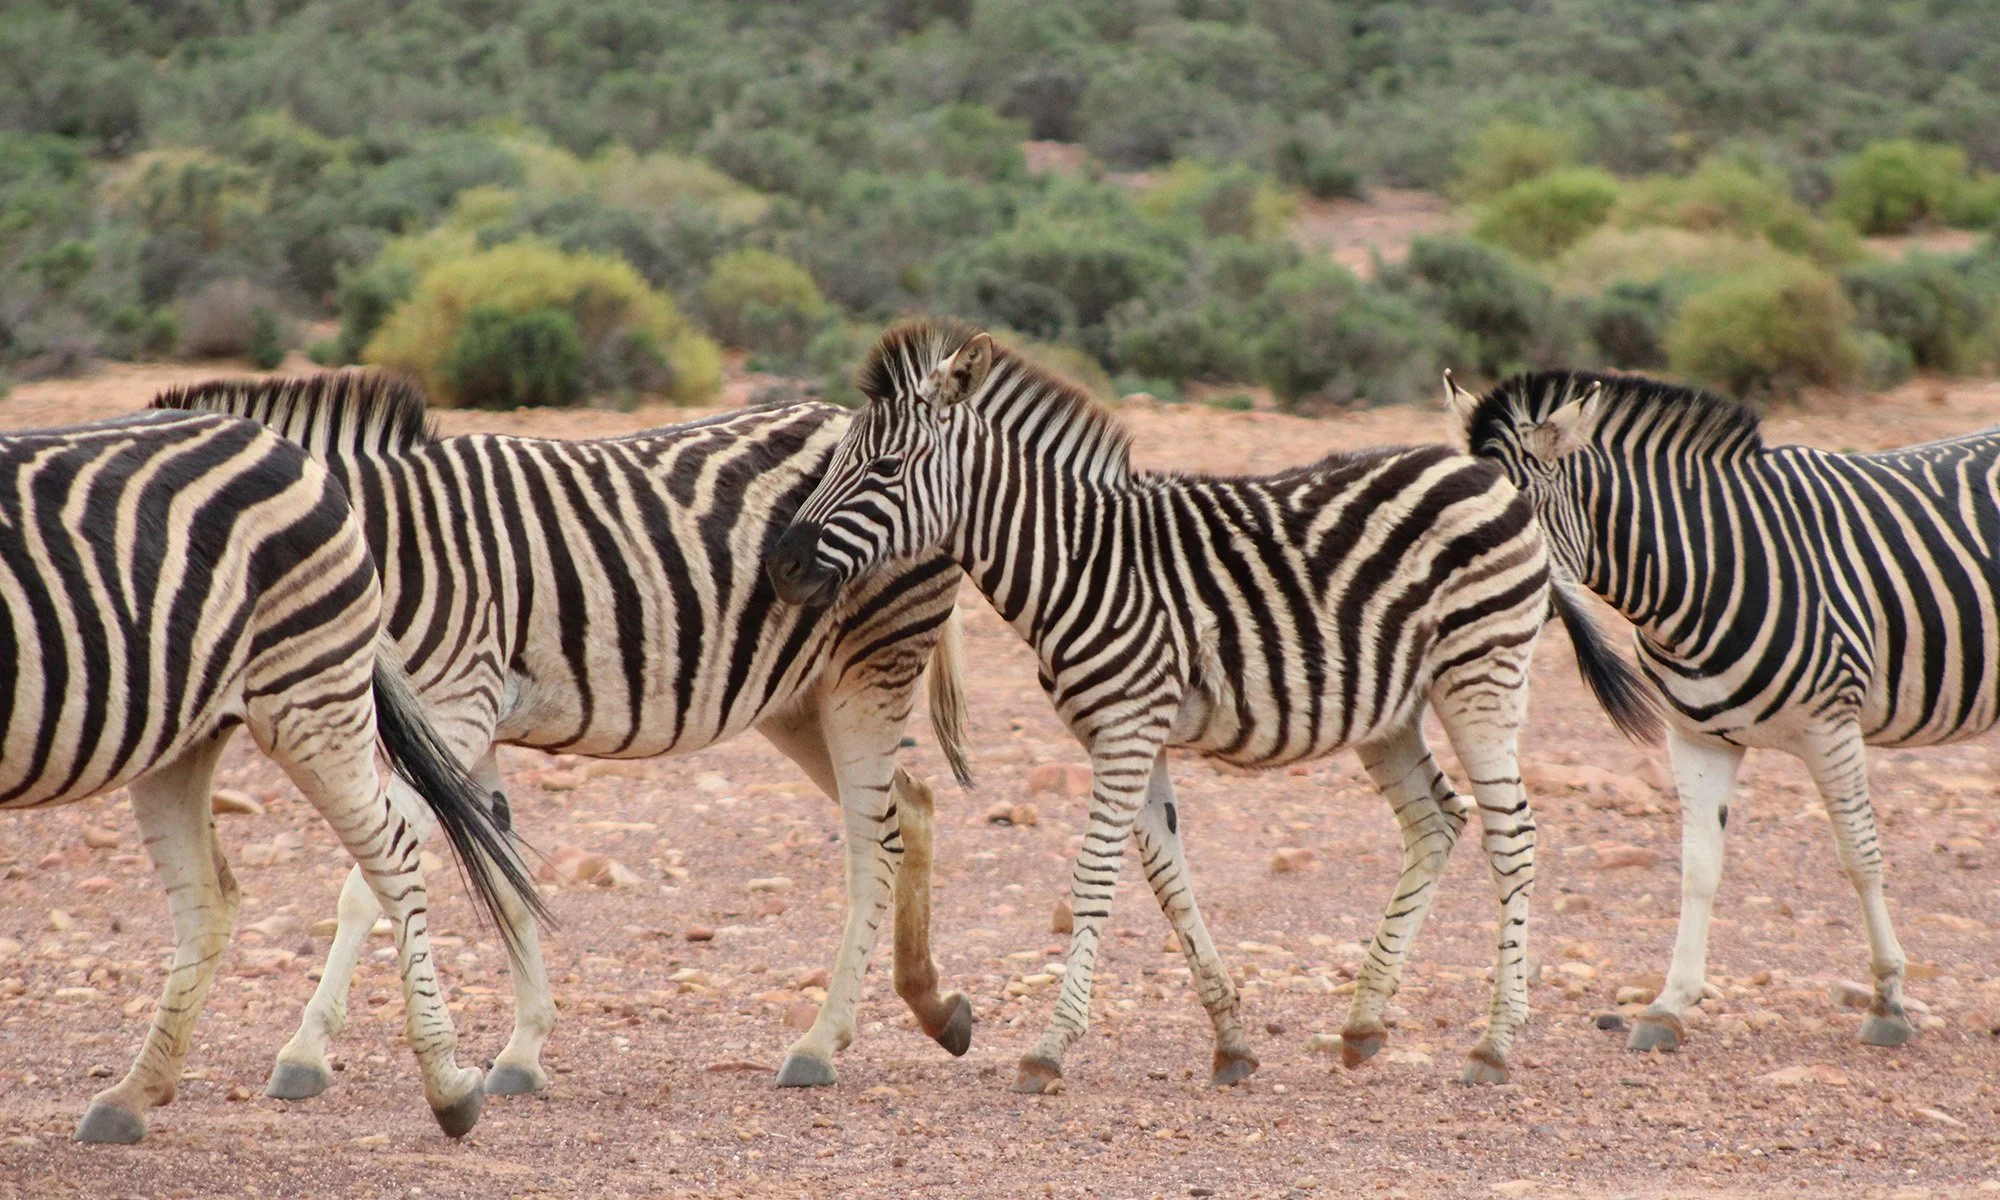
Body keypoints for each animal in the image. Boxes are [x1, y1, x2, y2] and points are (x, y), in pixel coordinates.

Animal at [0, 408, 538, 1142]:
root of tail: (282, 444)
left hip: (311, 699)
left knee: (390, 856)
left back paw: (446, 1086)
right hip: (183, 735)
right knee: (211, 897)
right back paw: (131, 1095)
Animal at [155, 372, 975, 1095]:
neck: (386, 548)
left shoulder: (457, 710)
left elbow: (369, 884)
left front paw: (304, 1052)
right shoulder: (466, 730)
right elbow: (504, 875)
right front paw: (523, 1051)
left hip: (870, 666)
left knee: (874, 843)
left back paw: (820, 1043)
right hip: (796, 699)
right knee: (913, 804)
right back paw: (935, 1008)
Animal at [765, 320, 1657, 1092]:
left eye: (885, 469)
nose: (781, 564)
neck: (1077, 561)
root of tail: (1490, 476)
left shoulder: (1126, 728)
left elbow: (1094, 876)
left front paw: (1050, 1049)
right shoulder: (1126, 732)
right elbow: (1167, 876)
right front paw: (1230, 1041)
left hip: (1481, 673)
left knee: (1514, 836)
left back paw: (1495, 1043)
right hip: (1392, 706)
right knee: (1438, 820)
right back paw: (1365, 1022)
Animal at [1447, 367, 2000, 1055]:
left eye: (1511, 516)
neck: (1697, 575)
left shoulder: (1832, 727)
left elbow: (1861, 857)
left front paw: (1888, 1002)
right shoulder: (1696, 737)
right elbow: (1697, 868)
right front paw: (1668, 1004)